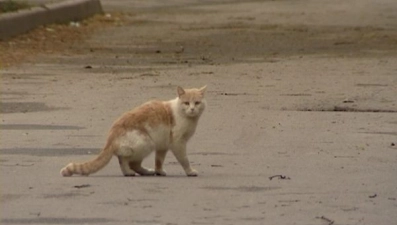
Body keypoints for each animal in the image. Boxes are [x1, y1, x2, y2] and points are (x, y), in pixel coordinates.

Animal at [61, 85, 207, 177]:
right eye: (186, 103)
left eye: (197, 103)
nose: (192, 109)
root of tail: (111, 137)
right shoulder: (178, 144)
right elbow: (184, 160)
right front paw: (190, 171)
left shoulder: (162, 146)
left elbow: (159, 161)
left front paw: (159, 171)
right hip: (147, 143)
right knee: (127, 161)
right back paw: (129, 172)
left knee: (129, 162)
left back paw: (146, 172)